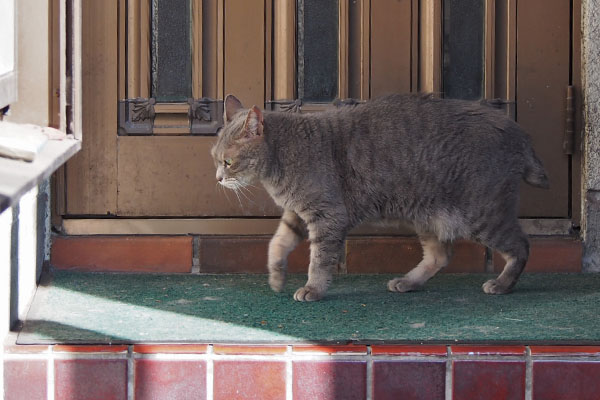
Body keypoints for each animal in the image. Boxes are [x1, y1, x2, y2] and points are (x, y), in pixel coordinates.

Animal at [211, 93, 548, 300]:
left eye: (228, 161)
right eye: (214, 158)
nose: (217, 178)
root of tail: (518, 132)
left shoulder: (327, 215)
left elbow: (319, 259)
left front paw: (313, 288)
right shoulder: (296, 214)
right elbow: (277, 243)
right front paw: (276, 276)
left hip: (483, 214)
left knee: (521, 245)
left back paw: (502, 284)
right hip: (428, 216)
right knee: (440, 255)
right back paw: (408, 282)